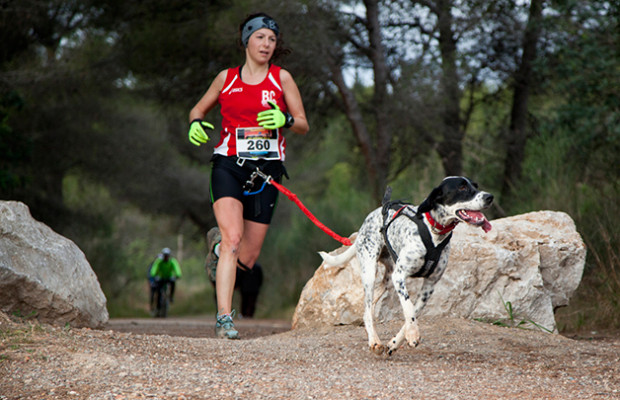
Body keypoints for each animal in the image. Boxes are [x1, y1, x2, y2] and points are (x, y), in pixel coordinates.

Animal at [320, 177, 494, 354]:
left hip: (388, 278)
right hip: (370, 272)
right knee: (368, 310)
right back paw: (374, 340)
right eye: (462, 187)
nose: (490, 197)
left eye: (475, 186)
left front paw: (396, 342)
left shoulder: (429, 286)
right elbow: (408, 307)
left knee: (370, 304)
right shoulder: (400, 276)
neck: (434, 232)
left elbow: (413, 313)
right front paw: (412, 334)